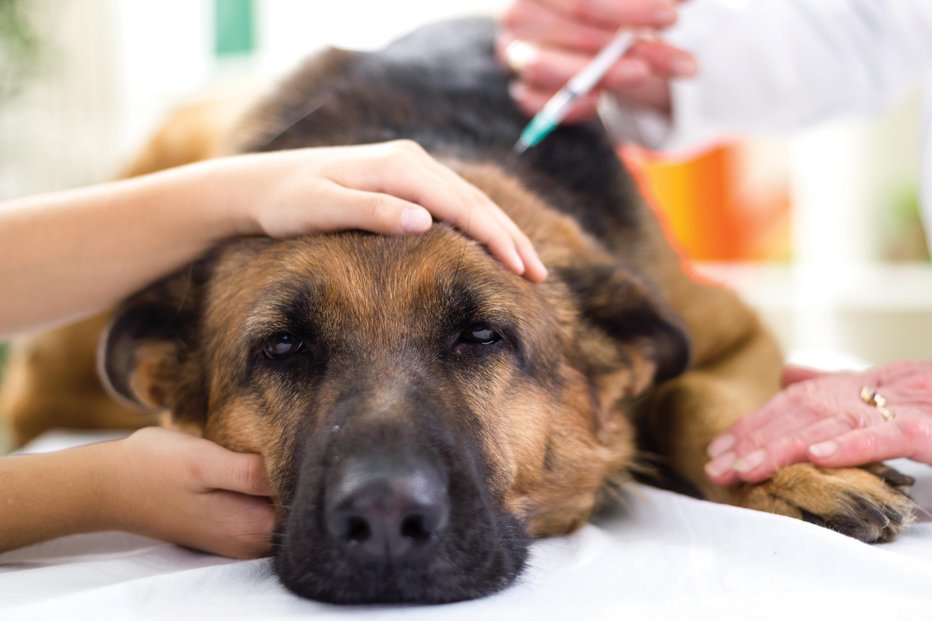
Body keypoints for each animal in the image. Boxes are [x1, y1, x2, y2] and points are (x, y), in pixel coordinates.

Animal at [0, 20, 916, 604]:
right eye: (284, 347)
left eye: (482, 336)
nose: (382, 518)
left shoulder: (730, 330)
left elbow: (695, 394)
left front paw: (789, 470)